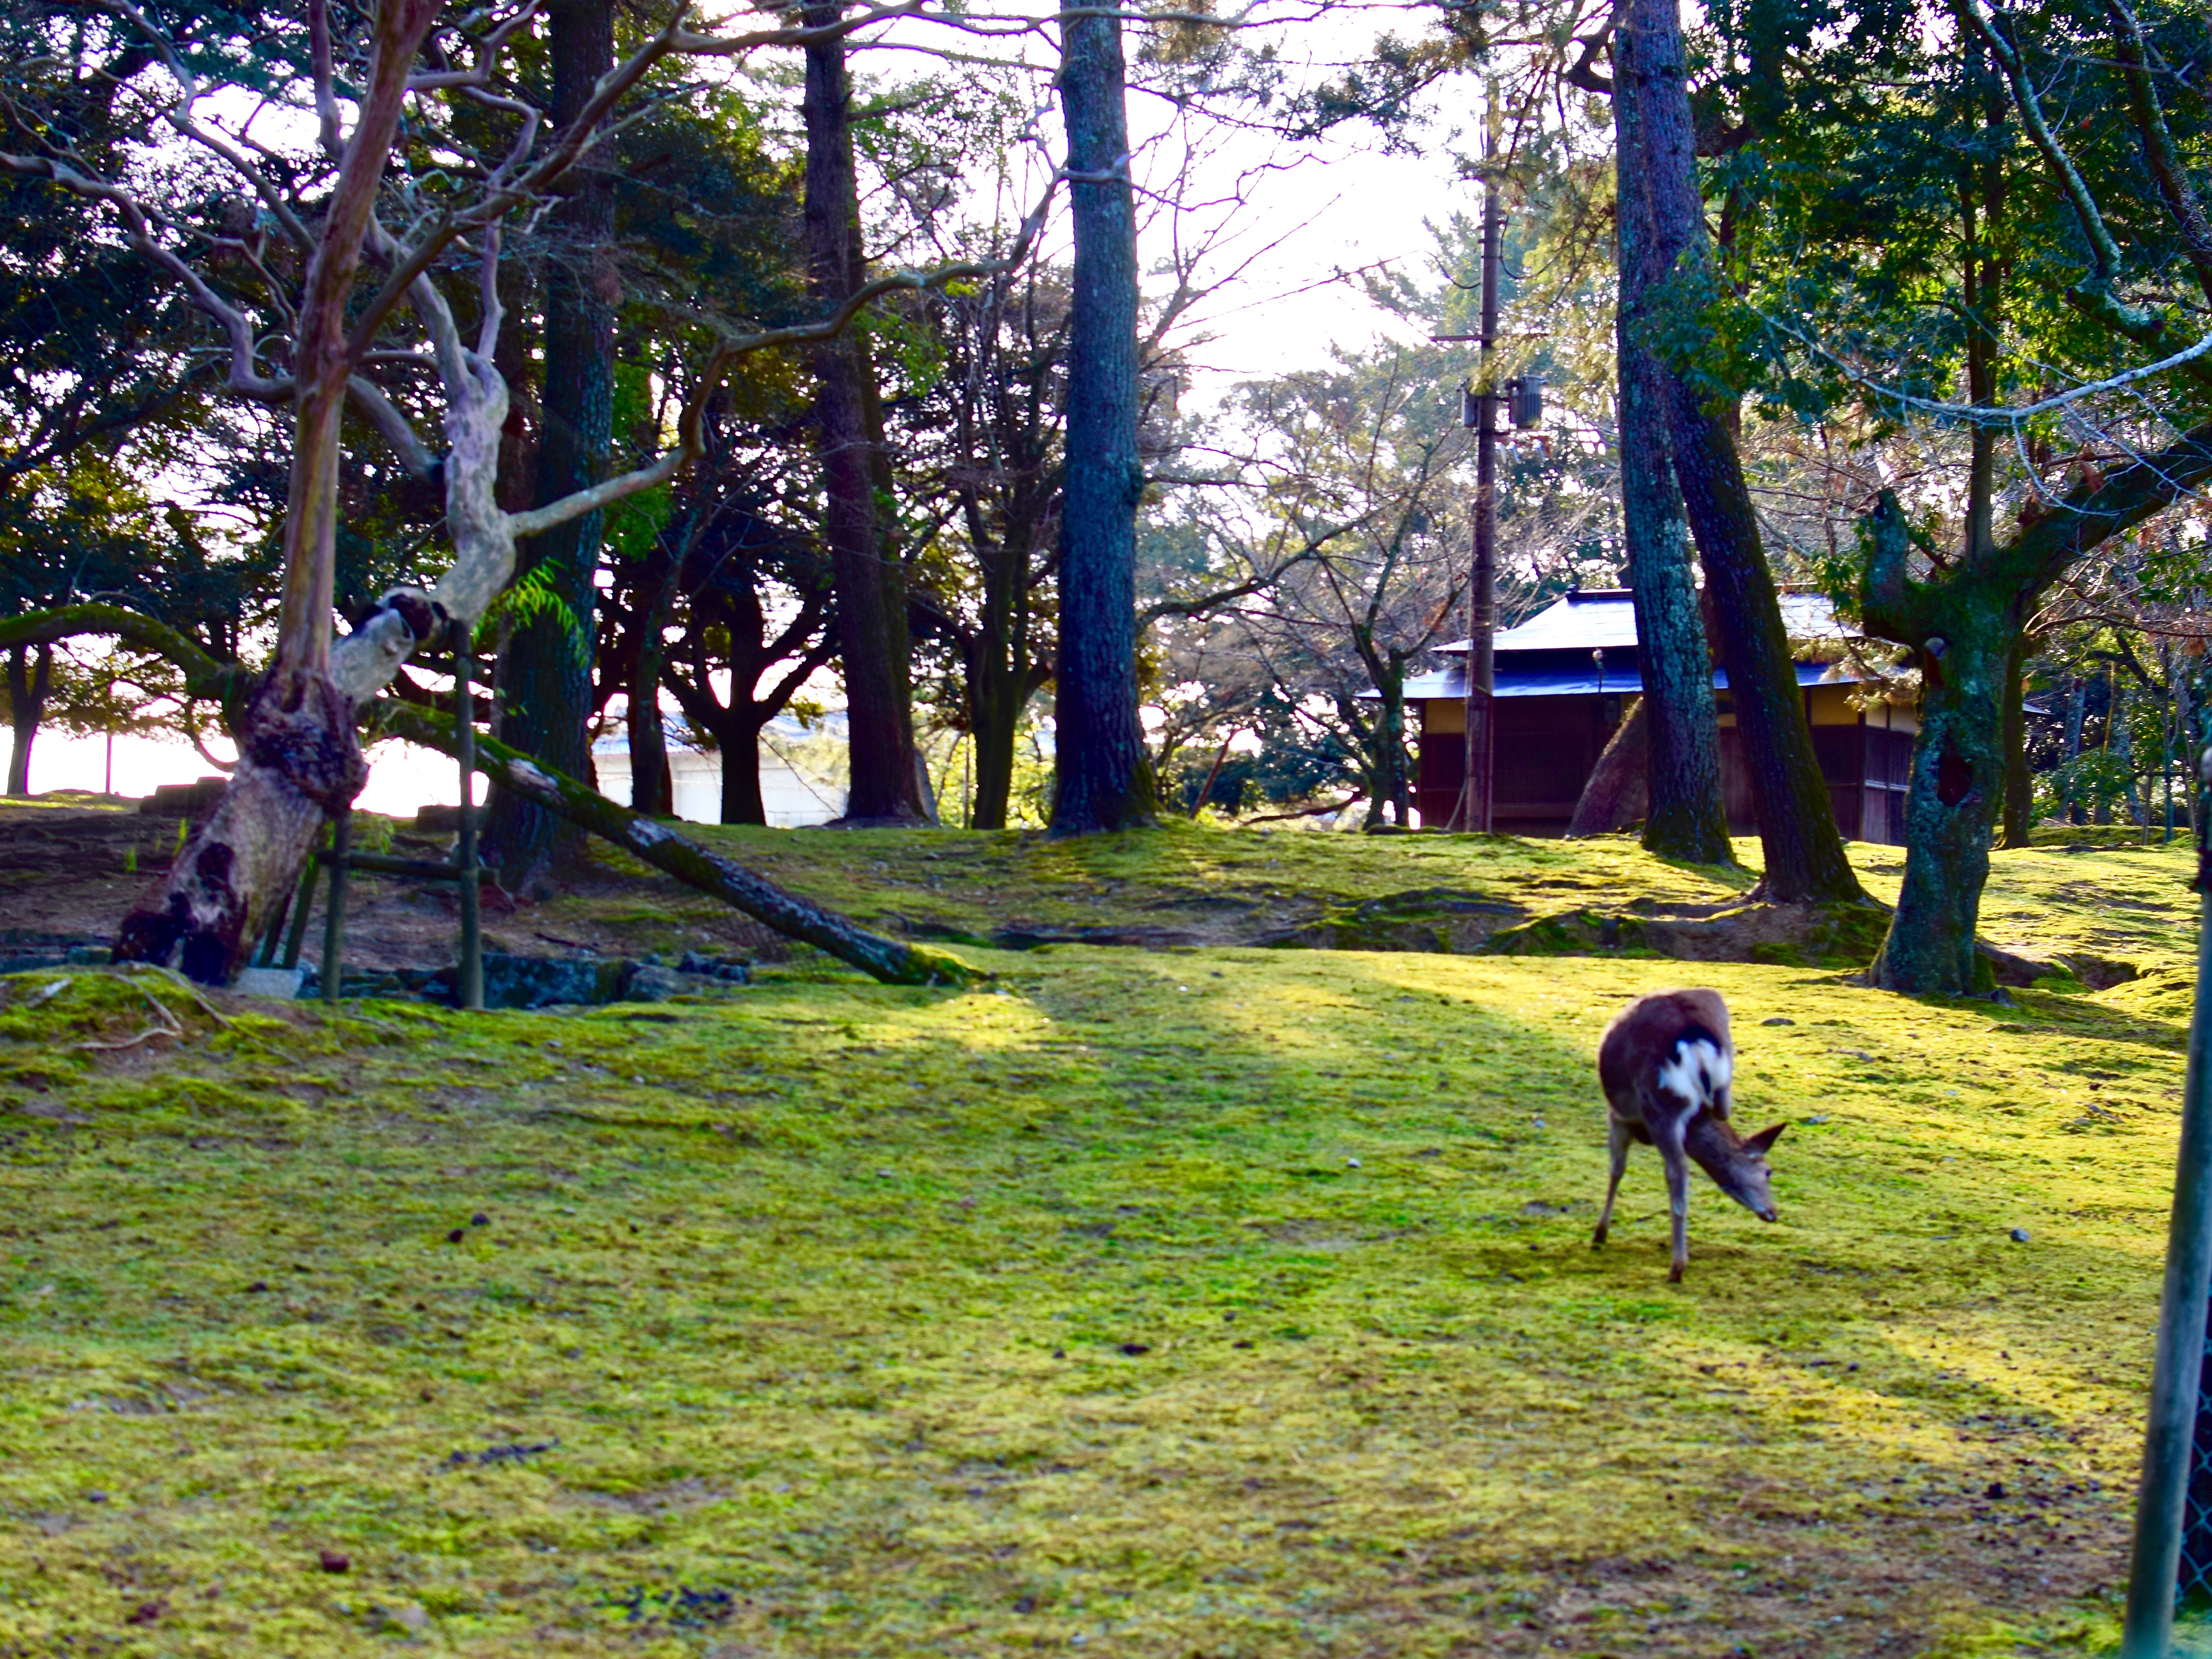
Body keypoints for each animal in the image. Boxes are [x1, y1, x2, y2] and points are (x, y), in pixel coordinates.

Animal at [1592, 986, 1778, 1283]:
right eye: (1768, 1172)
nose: (1773, 1213)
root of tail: (1692, 1035)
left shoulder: (1618, 1117)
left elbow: (1617, 1169)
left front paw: (1600, 1234)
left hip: (1662, 1103)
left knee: (1677, 1171)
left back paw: (1677, 1267)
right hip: (1723, 1094)